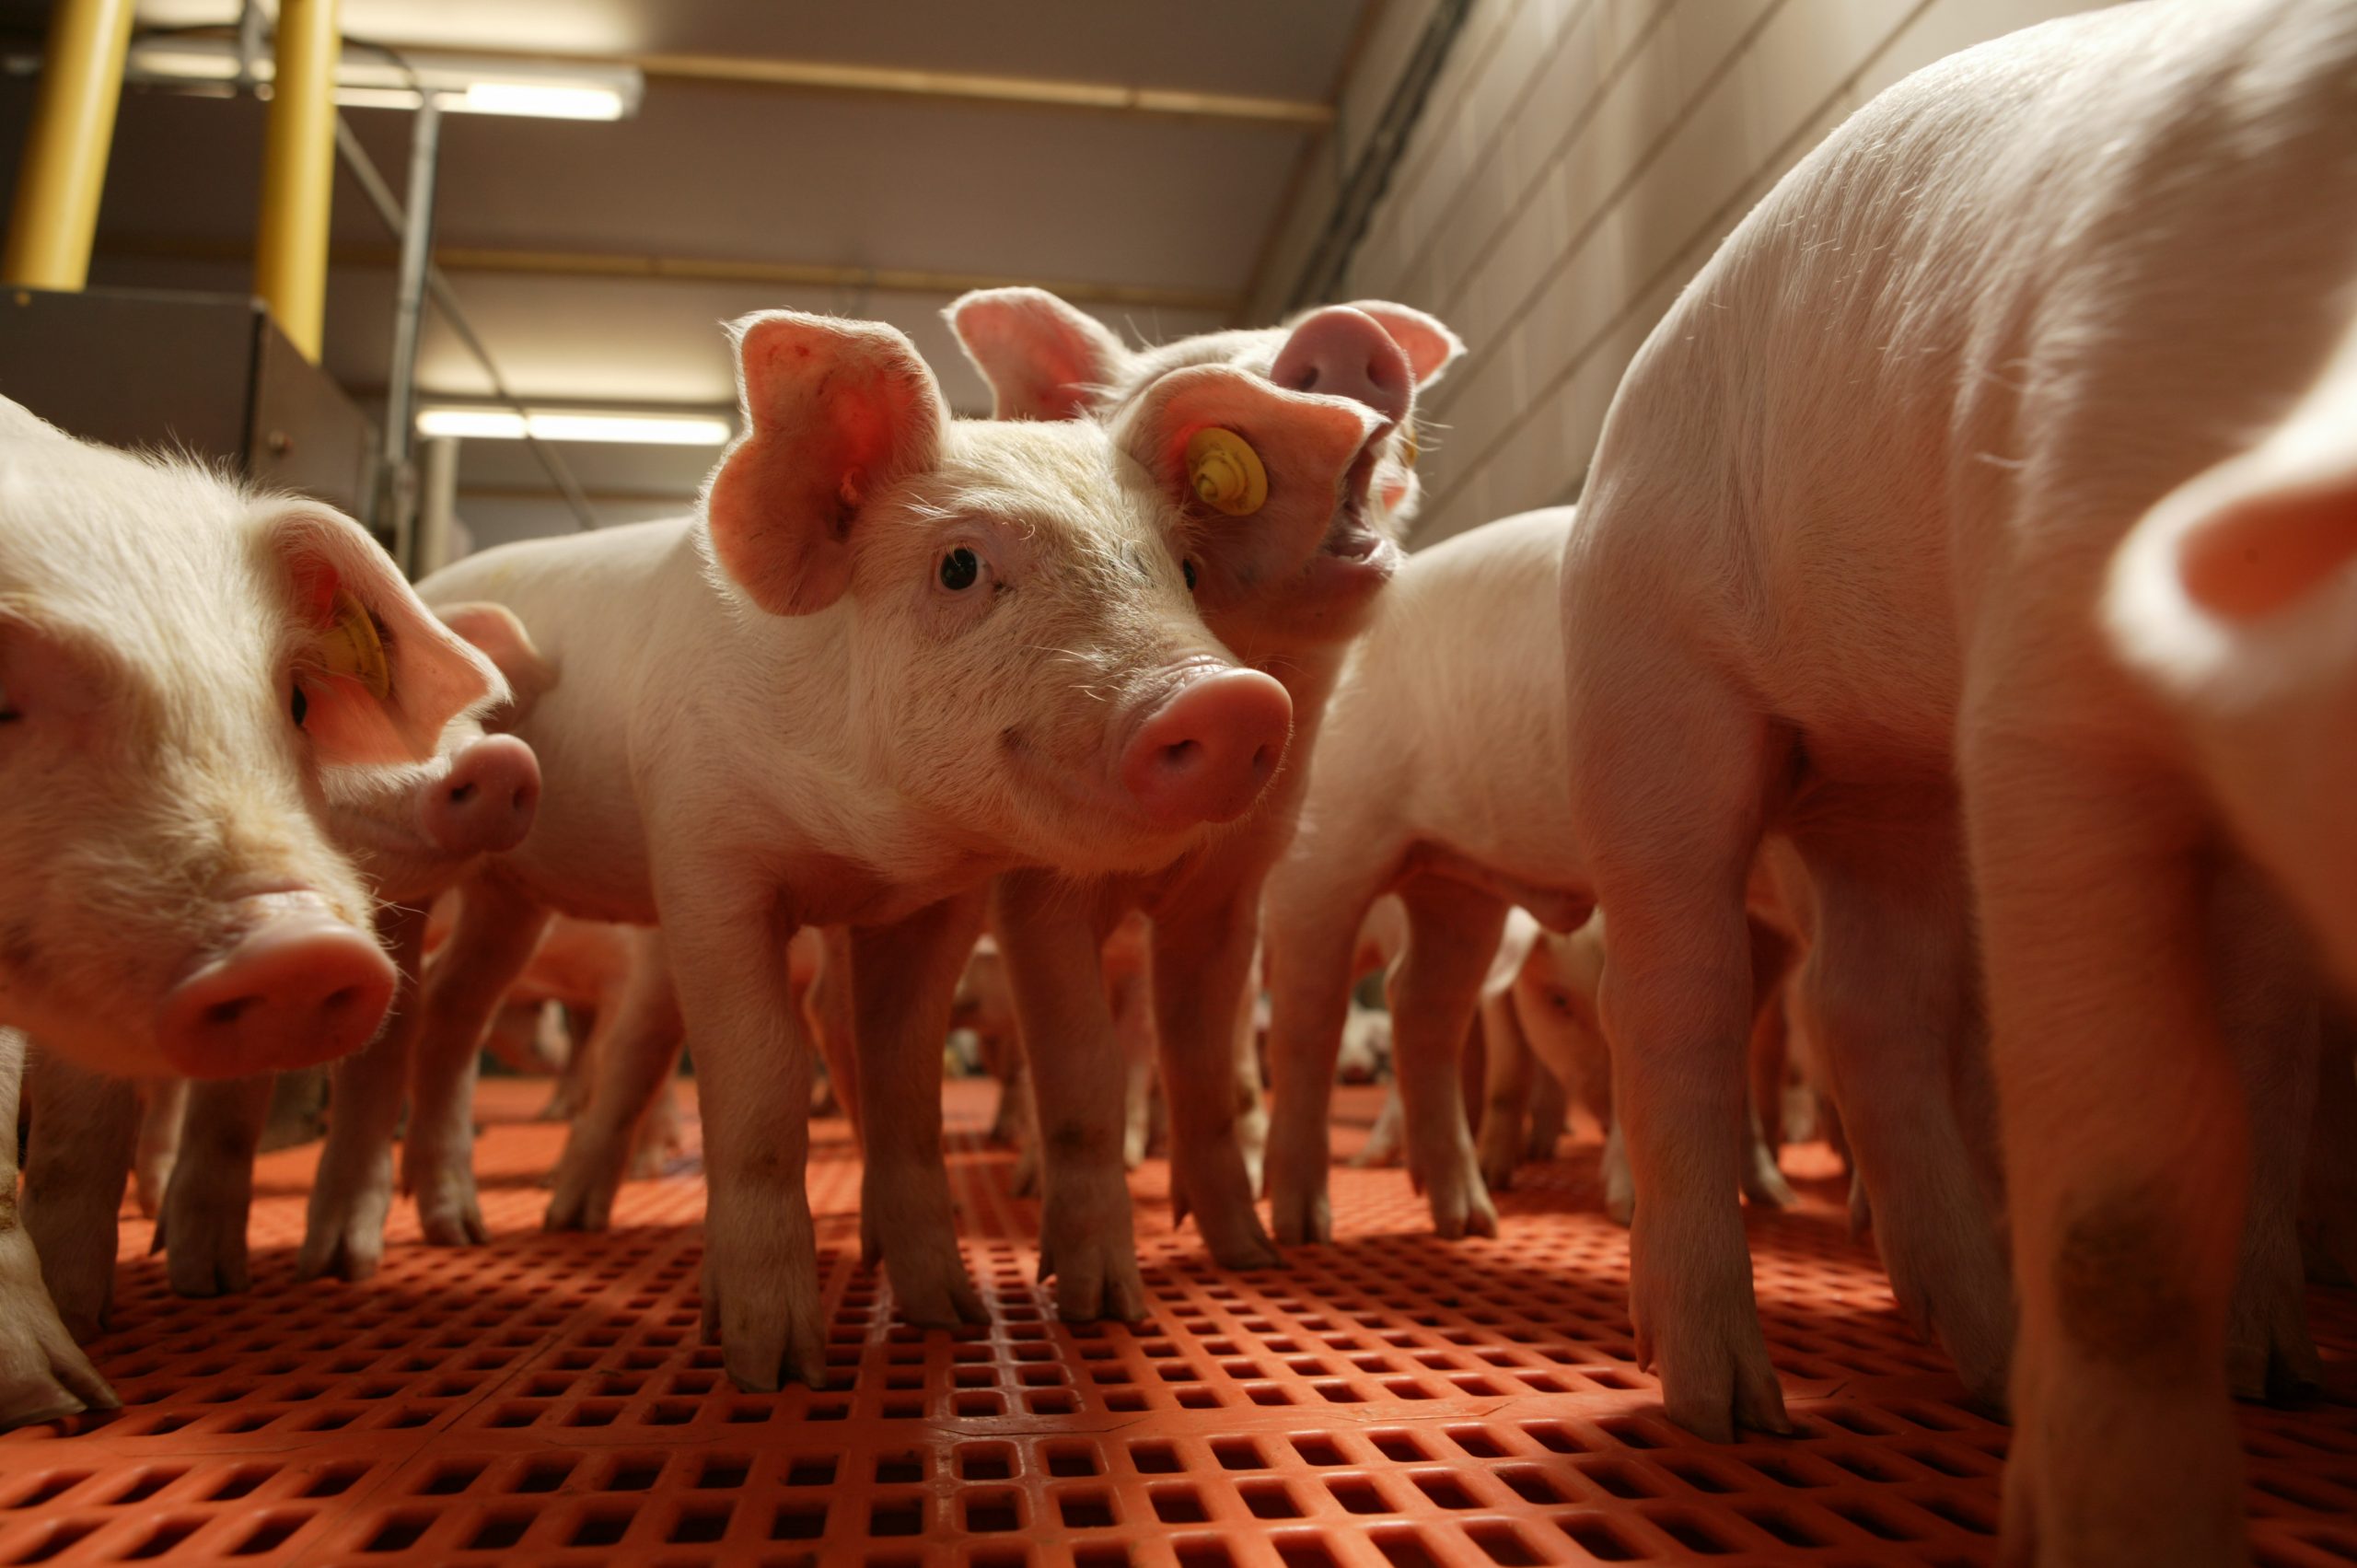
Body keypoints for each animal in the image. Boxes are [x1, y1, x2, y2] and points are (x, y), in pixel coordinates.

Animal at [402, 308, 1376, 1386]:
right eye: (959, 565)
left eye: (1188, 573)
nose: (1230, 697)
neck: (863, 845)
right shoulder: (703, 856)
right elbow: (762, 1081)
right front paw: (773, 1365)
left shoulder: (937, 905)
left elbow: (908, 1088)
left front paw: (954, 1318)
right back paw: (492, 1230)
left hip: (509, 894)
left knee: (452, 1007)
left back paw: (464, 1224)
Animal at [1555, 3, 2347, 1556]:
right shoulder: (2046, 681)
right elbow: (2122, 1206)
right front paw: (2130, 1523)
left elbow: (2269, 1078)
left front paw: (2279, 1374)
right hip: (1647, 683)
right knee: (1673, 993)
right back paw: (1731, 1405)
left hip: (1893, 789)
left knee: (1860, 1006)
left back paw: (1982, 1360)